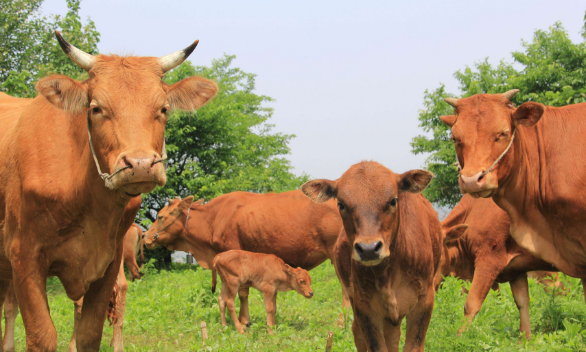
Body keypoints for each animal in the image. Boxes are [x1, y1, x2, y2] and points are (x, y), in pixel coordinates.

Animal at [0, 31, 217, 350]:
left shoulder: (109, 261)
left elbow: (90, 332)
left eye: (163, 109)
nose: (141, 164)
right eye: (96, 108)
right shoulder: (23, 257)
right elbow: (41, 335)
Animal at [302, 162, 438, 352]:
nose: (368, 249)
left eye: (393, 200)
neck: (387, 274)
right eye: (341, 204)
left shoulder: (424, 301)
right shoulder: (364, 306)